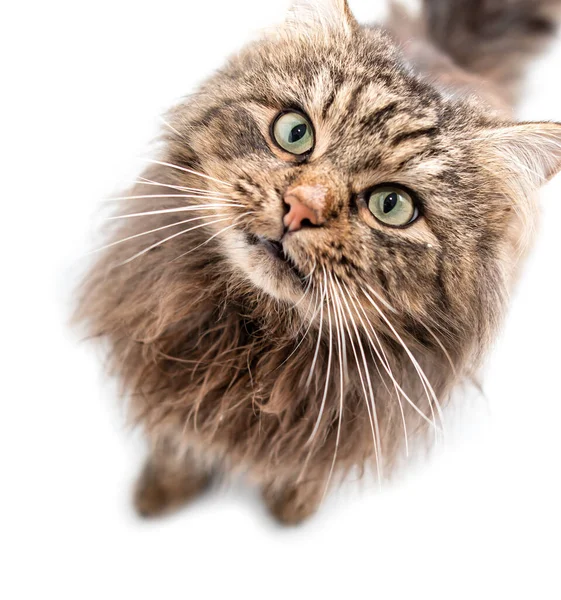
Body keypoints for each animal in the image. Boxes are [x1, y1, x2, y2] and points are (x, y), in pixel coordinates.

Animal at [76, 0, 560, 524]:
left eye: (392, 205)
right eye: (294, 132)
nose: (301, 207)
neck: (254, 342)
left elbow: (304, 474)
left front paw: (290, 510)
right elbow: (174, 446)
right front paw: (159, 492)